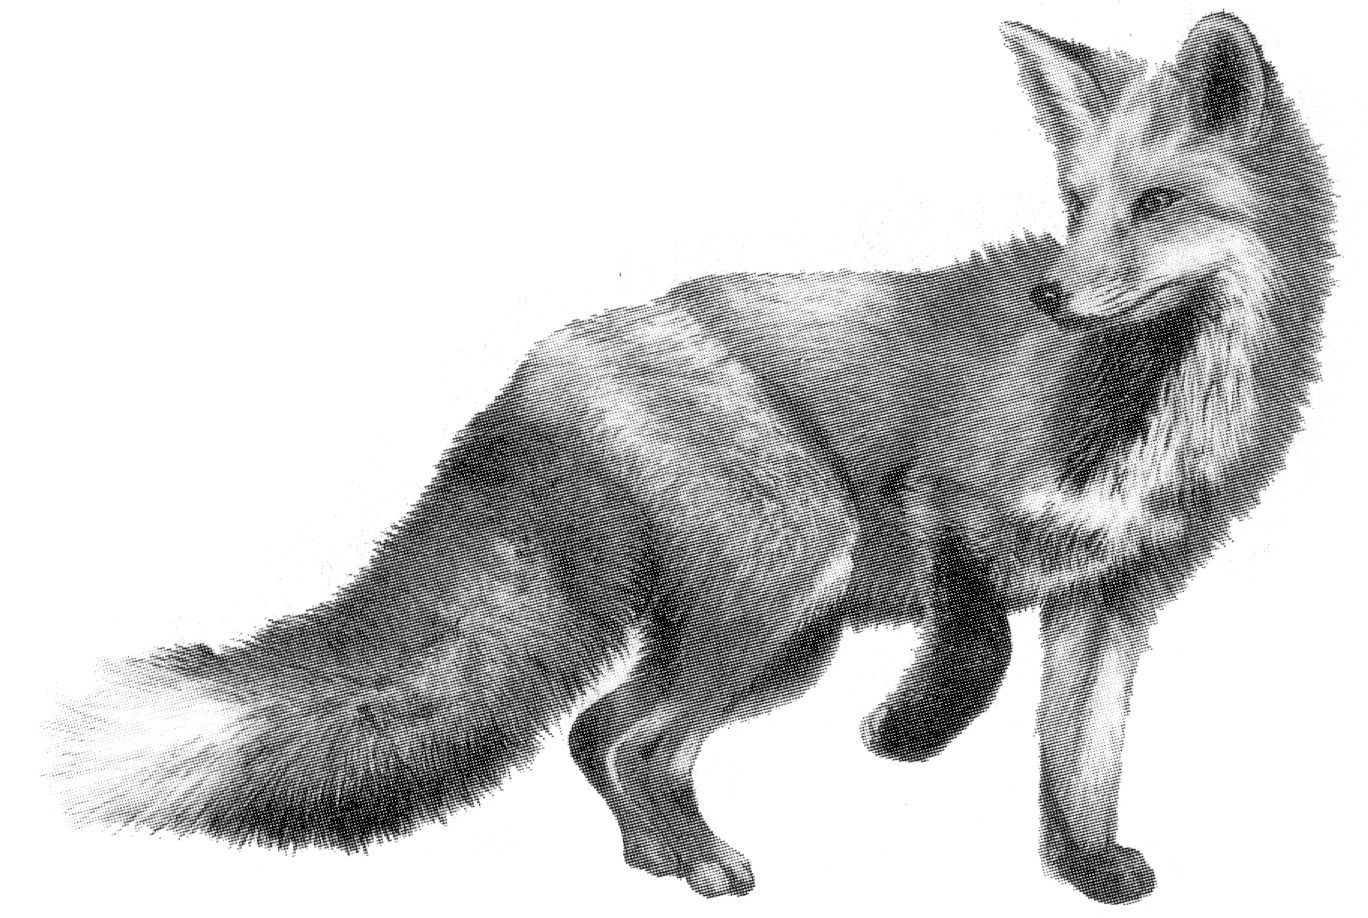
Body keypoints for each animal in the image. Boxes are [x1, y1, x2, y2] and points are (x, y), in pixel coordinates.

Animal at [48, 12, 1333, 907]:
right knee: (645, 742)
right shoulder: (945, 501)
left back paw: (657, 860)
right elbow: (979, 648)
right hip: (797, 568)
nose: (1053, 297)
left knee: (598, 730)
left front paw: (1087, 867)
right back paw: (705, 862)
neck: (1156, 402)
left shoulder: (1116, 597)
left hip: (779, 636)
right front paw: (908, 733)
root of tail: (546, 363)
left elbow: (1082, 755)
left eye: (1155, 203)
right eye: (1075, 204)